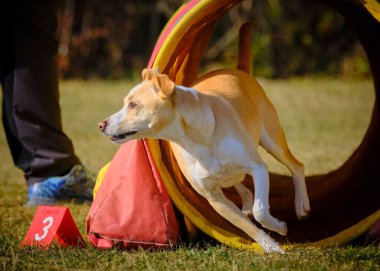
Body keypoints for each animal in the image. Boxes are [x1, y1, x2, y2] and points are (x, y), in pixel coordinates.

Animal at [99, 27, 310, 253]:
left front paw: (280, 227)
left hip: (271, 139)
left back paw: (301, 205)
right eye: (126, 103)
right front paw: (270, 247)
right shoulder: (214, 197)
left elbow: (261, 210)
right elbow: (247, 225)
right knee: (244, 189)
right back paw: (247, 206)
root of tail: (240, 71)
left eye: (133, 104)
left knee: (296, 166)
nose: (101, 124)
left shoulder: (258, 167)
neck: (196, 141)